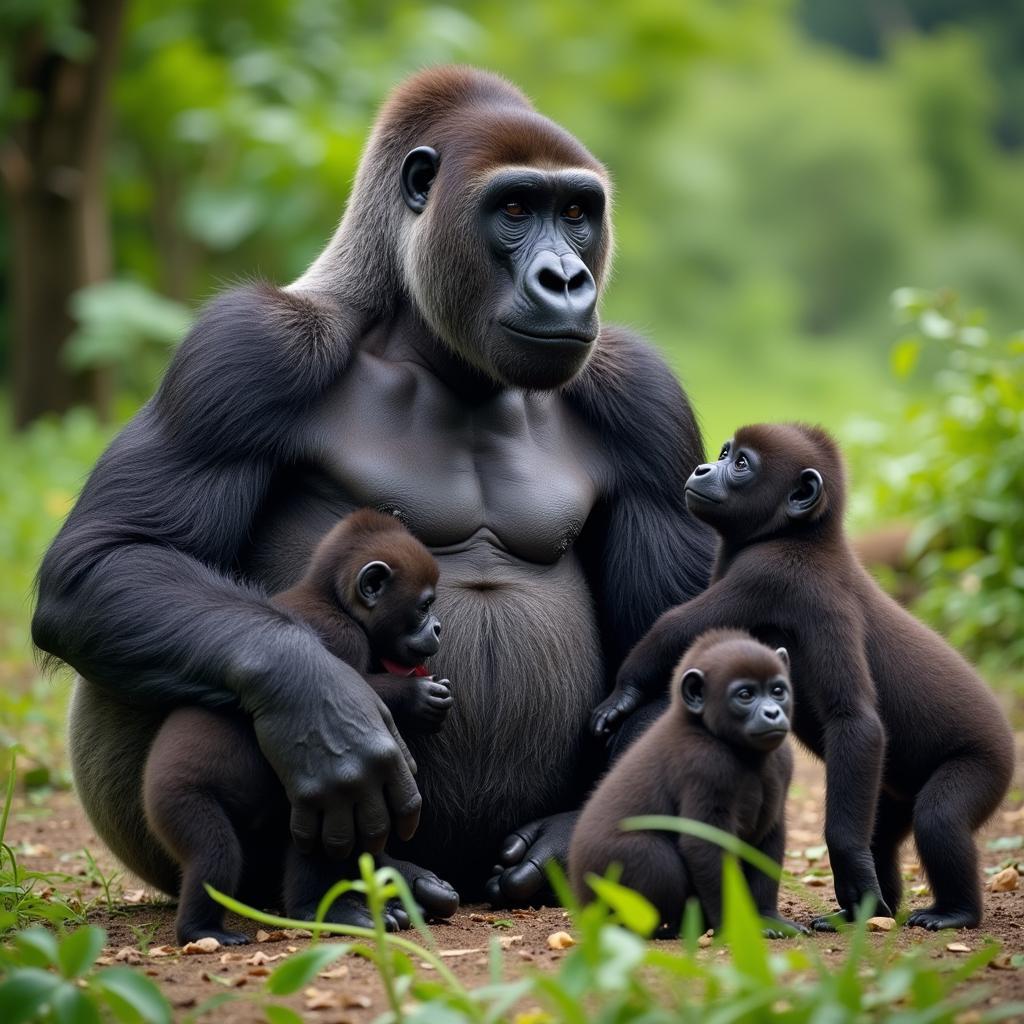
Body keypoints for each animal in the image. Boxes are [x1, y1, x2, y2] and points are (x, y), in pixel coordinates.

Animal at [143, 507, 452, 946]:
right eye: (425, 606)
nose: (438, 627)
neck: (332, 599)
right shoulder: (340, 634)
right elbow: (354, 689)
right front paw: (416, 697)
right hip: (180, 799)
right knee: (216, 852)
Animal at [593, 421, 1015, 929]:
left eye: (740, 464)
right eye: (724, 452)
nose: (702, 469)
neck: (806, 534)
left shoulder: (771, 574)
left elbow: (853, 720)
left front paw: (625, 690)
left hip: (986, 765)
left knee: (940, 819)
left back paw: (955, 911)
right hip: (891, 789)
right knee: (882, 828)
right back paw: (866, 911)